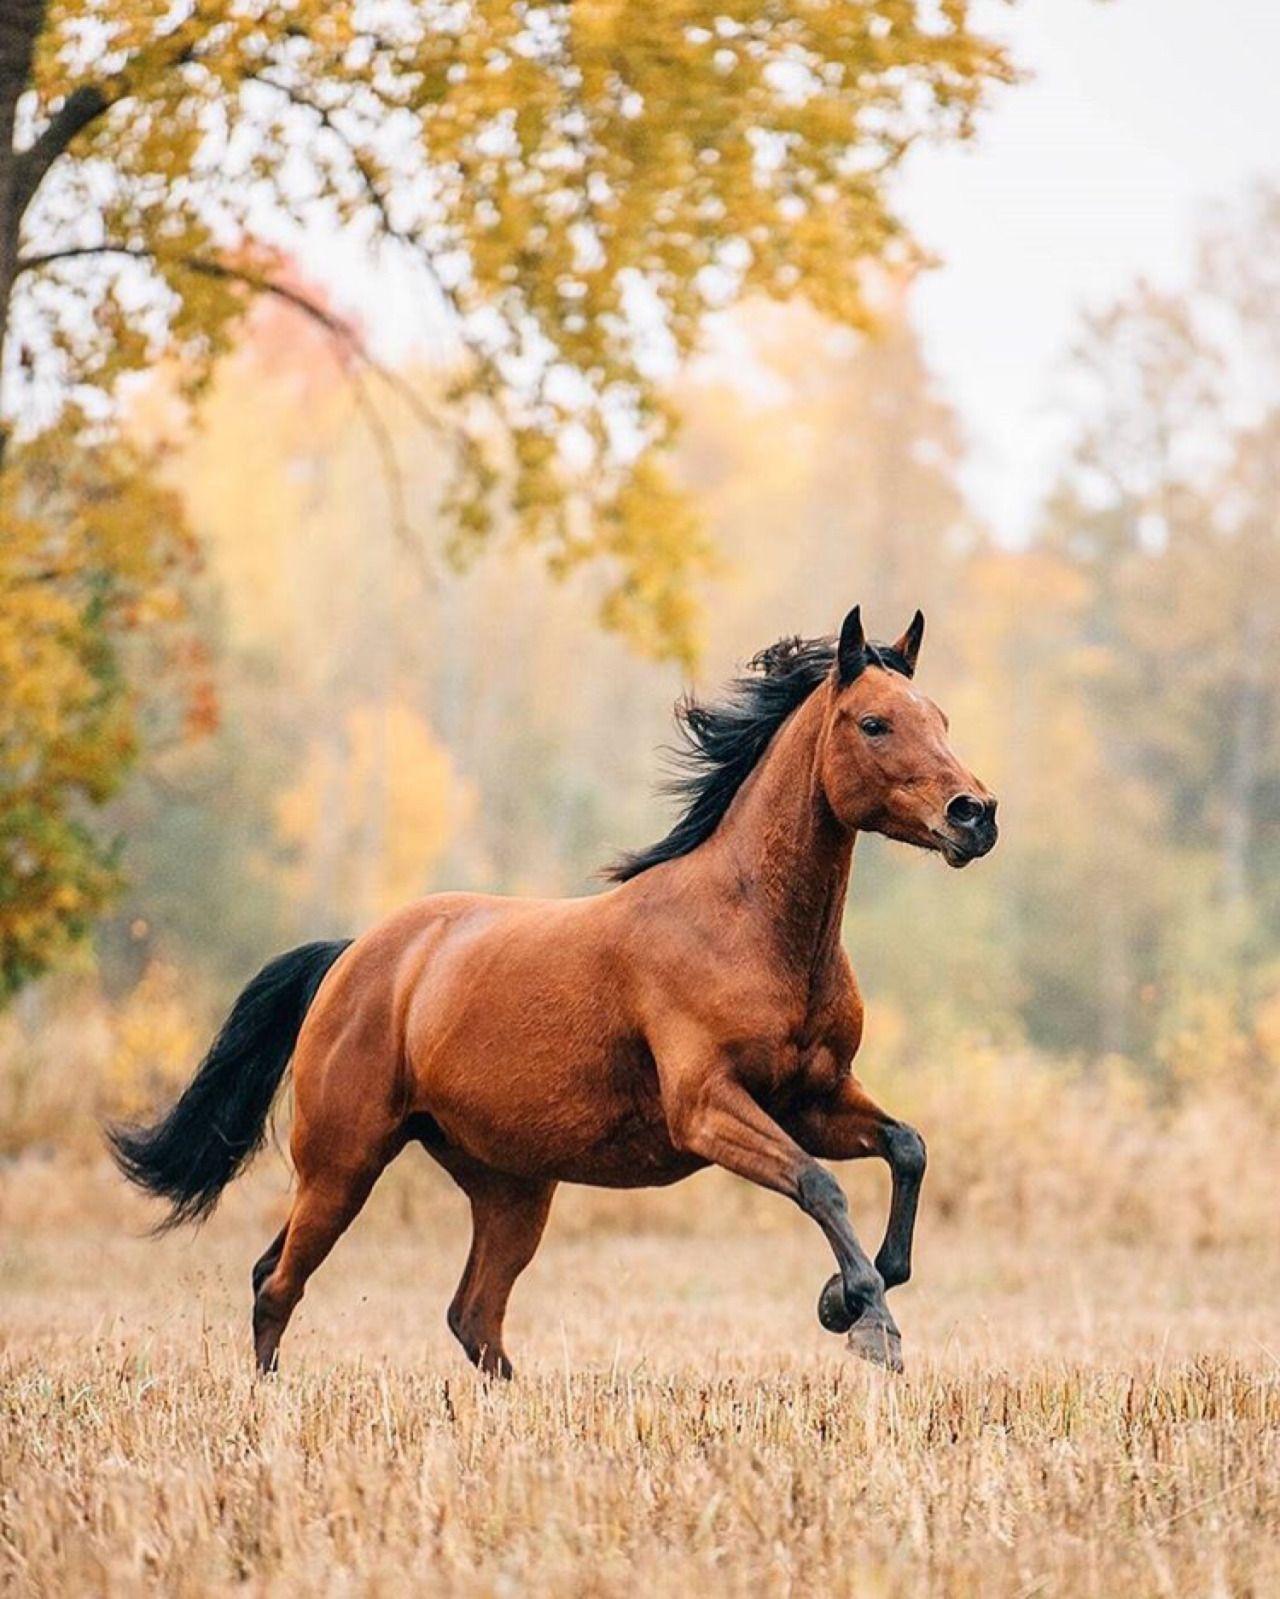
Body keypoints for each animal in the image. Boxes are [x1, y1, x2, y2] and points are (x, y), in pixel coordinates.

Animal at [110, 604, 997, 1381]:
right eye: (873, 723)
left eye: (942, 718)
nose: (975, 815)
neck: (750, 925)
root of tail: (353, 957)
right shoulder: (708, 1107)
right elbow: (821, 1183)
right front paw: (867, 1321)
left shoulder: (811, 1097)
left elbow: (908, 1148)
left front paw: (846, 1296)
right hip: (341, 1162)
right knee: (278, 1281)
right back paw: (269, 1403)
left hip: (510, 1188)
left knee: (470, 1313)